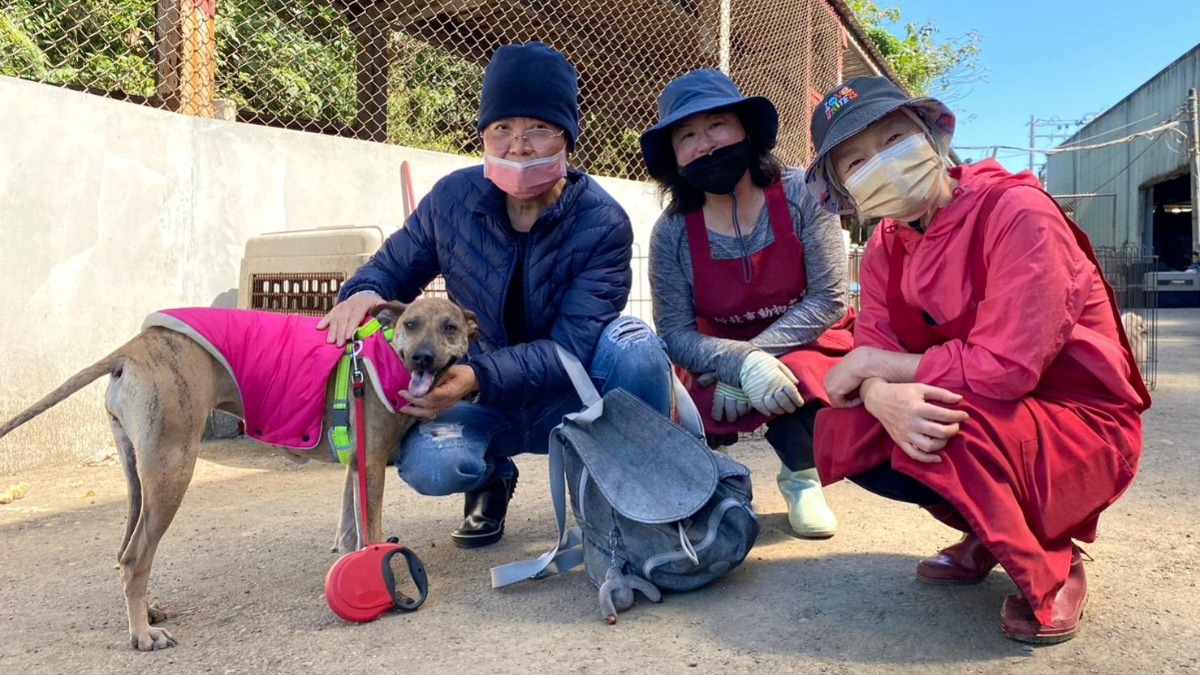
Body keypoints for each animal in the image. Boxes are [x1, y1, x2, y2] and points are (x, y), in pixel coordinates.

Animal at [0, 296, 475, 648]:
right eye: (411, 324)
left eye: (450, 327)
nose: (423, 357)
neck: (384, 358)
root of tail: (137, 345)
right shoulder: (372, 466)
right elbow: (371, 532)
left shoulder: (355, 465)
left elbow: (351, 529)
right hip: (172, 469)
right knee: (135, 557)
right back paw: (143, 634)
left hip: (137, 478)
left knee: (124, 553)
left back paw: (145, 612)